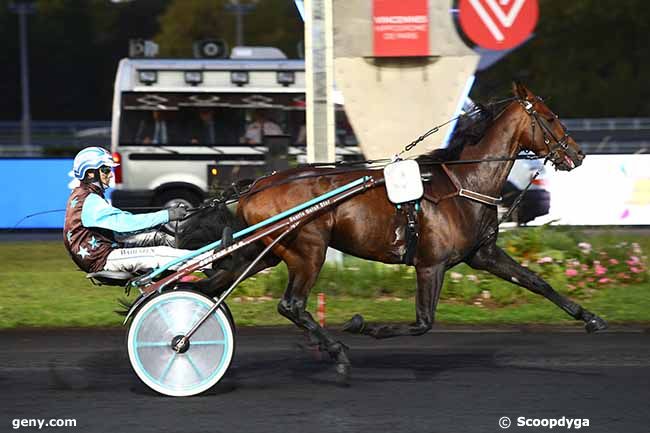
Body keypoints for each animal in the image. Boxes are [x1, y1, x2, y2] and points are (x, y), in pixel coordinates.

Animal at [176, 83, 604, 378]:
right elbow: (423, 323)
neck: (464, 182)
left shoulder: (483, 255)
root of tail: (256, 184)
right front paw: (366, 326)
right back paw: (333, 351)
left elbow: (536, 281)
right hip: (308, 249)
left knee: (208, 286)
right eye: (550, 117)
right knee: (291, 304)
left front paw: (590, 318)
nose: (579, 154)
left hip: (261, 253)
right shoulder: (431, 264)